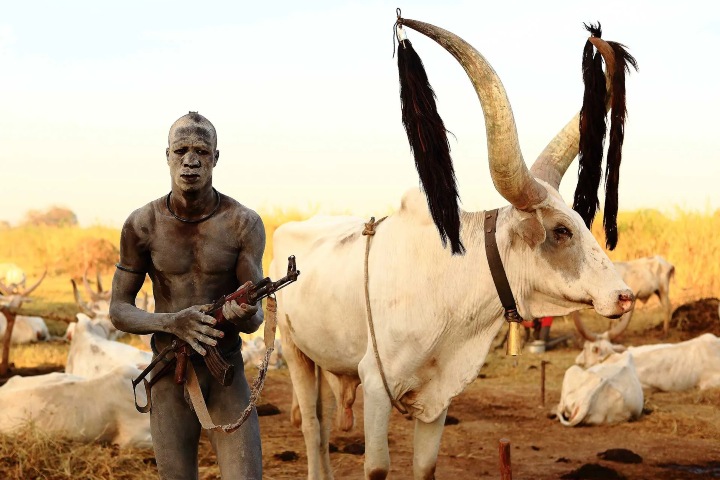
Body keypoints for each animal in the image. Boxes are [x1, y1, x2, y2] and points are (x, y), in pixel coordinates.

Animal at [271, 20, 636, 479]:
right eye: (561, 231)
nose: (624, 296)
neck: (450, 291)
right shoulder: (375, 385)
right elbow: (376, 467)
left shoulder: (437, 401)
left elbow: (425, 465)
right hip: (294, 352)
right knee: (313, 428)